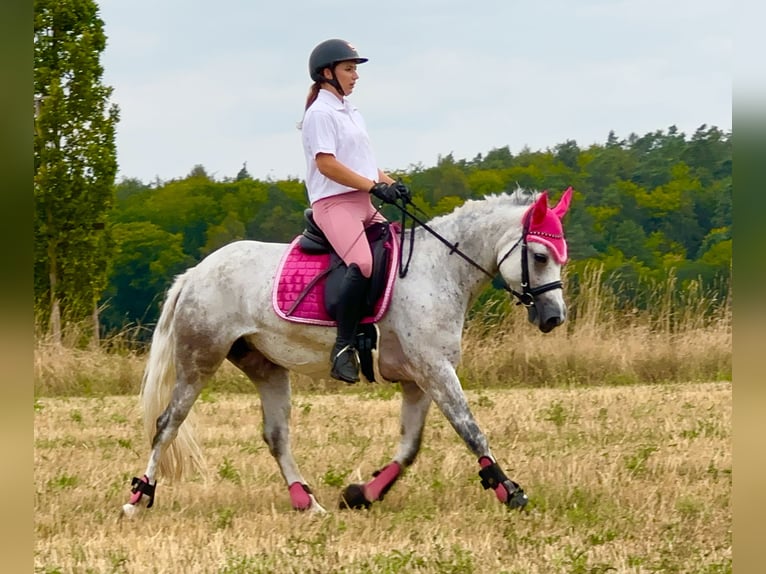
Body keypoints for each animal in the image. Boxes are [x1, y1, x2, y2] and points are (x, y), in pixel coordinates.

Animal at [121, 188, 576, 516]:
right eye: (539, 256)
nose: (554, 317)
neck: (438, 270)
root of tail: (195, 273)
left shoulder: (419, 379)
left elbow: (410, 447)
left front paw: (361, 494)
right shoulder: (434, 369)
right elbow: (471, 429)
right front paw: (509, 490)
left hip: (265, 365)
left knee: (276, 435)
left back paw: (308, 503)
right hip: (200, 359)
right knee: (167, 424)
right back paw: (138, 498)